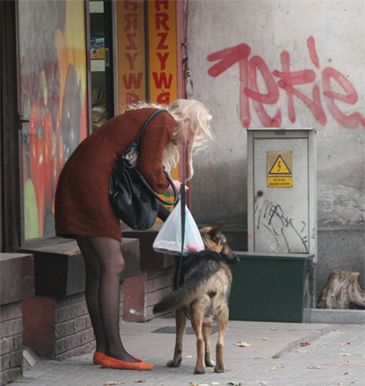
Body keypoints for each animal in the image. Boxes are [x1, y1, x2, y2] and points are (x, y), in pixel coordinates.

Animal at [152, 226, 237, 374]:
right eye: (225, 243)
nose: (237, 259)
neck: (206, 248)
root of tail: (209, 263)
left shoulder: (179, 311)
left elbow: (178, 340)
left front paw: (176, 361)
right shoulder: (208, 318)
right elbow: (208, 342)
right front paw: (209, 362)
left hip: (195, 311)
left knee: (199, 340)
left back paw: (199, 368)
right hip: (223, 312)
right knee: (219, 343)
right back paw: (220, 368)